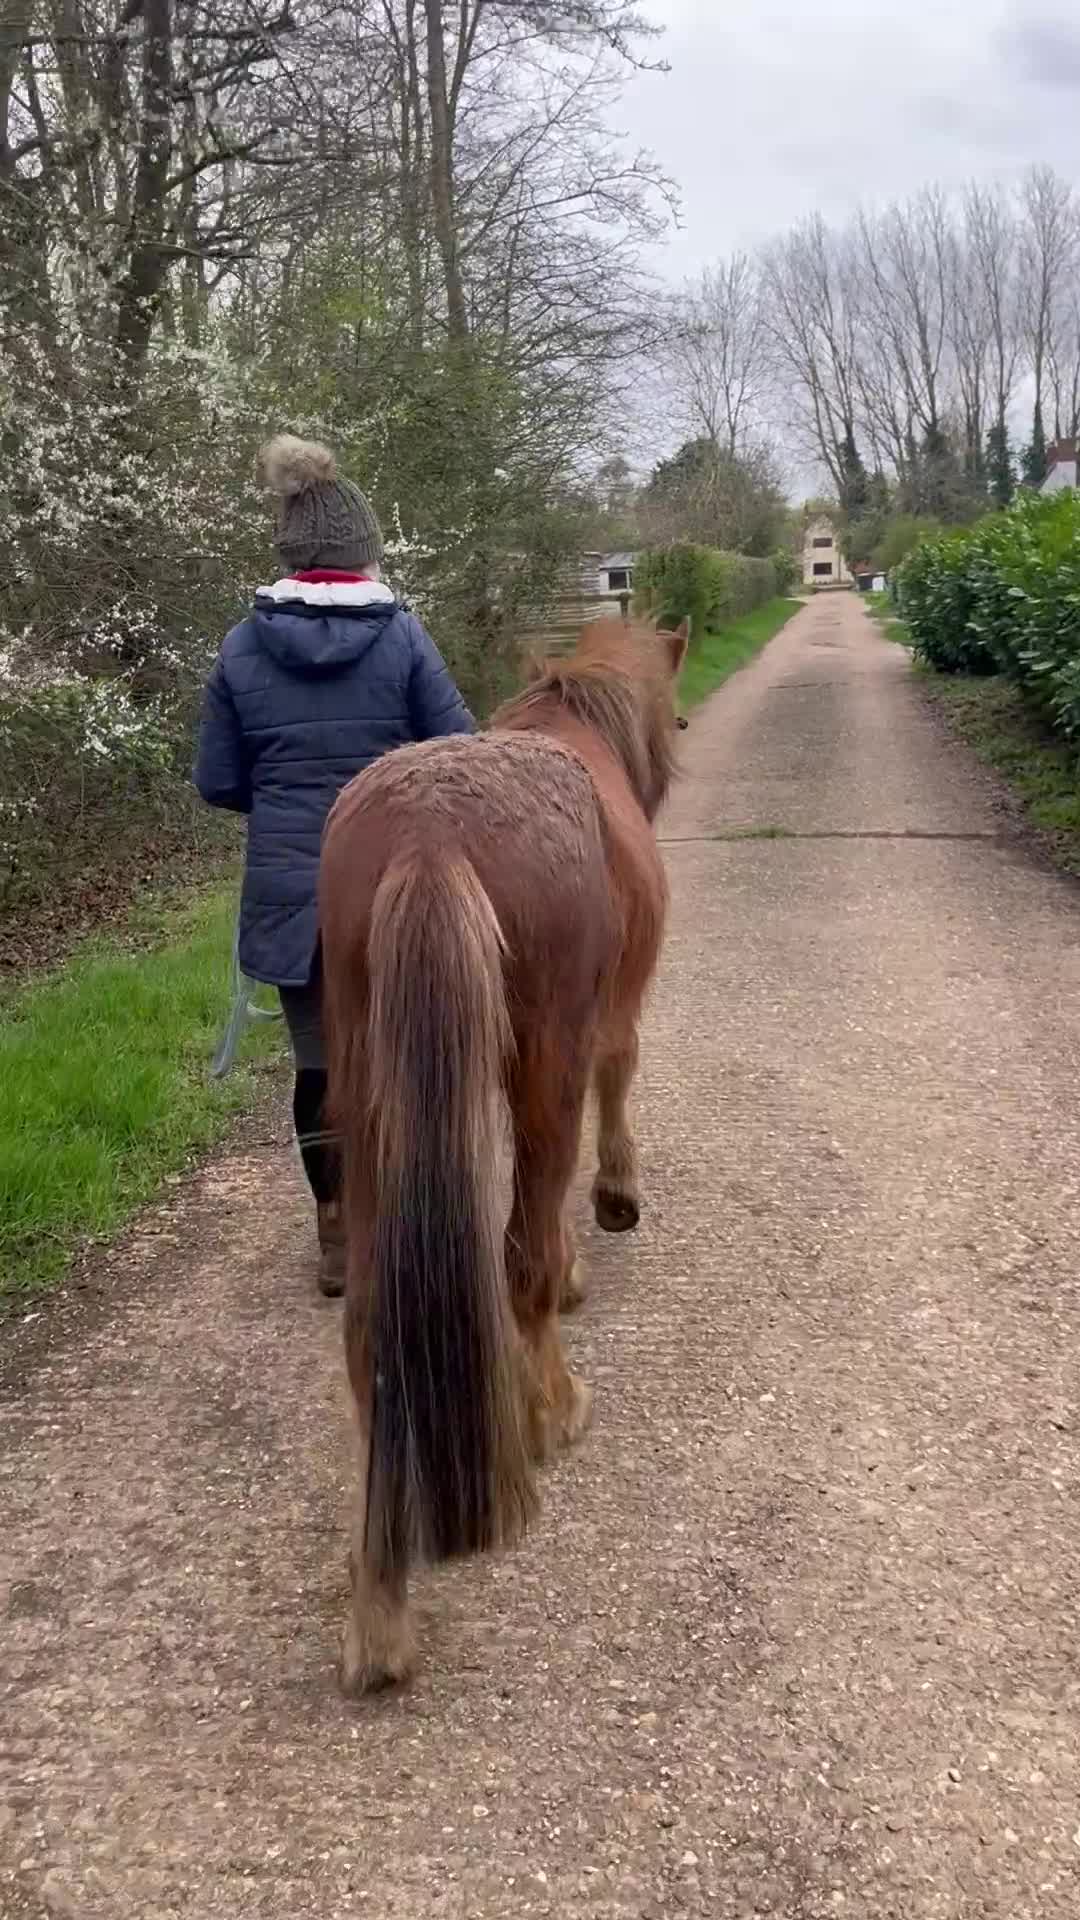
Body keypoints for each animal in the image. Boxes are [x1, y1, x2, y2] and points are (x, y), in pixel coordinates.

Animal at [318, 614, 687, 1694]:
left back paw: (379, 1615)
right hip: (542, 1062)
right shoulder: (605, 1020)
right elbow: (616, 1083)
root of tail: (428, 838)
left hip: (369, 1102)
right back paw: (553, 1408)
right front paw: (612, 1204)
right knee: (518, 1253)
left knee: (370, 1332)